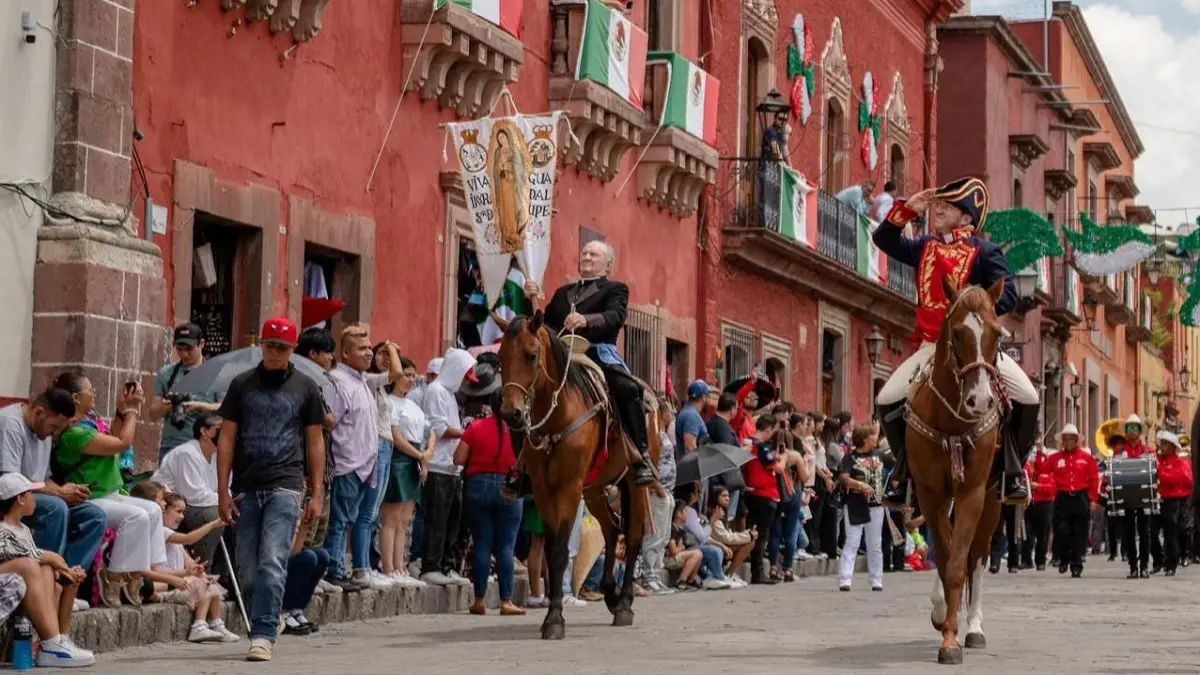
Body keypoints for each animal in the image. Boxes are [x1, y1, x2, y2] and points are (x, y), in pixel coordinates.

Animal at [499, 309, 662, 634]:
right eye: (499, 358)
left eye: (531, 355)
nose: (512, 414)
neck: (557, 416)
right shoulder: (544, 489)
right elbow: (552, 552)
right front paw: (553, 611)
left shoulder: (569, 487)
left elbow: (561, 551)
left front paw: (554, 619)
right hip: (596, 488)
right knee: (612, 530)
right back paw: (610, 594)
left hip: (633, 485)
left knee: (633, 537)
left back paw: (624, 604)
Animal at [902, 277, 1008, 662]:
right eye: (958, 333)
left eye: (997, 333)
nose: (981, 401)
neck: (951, 421)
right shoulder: (930, 493)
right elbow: (945, 557)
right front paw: (944, 625)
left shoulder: (972, 493)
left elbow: (960, 564)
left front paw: (953, 637)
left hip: (992, 503)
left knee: (978, 557)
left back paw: (974, 626)